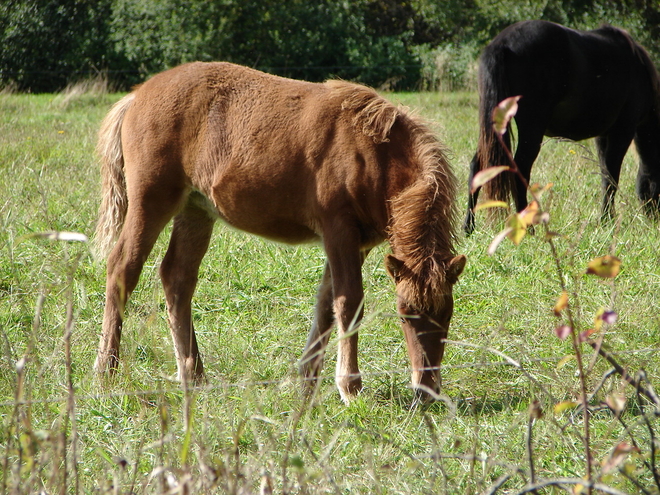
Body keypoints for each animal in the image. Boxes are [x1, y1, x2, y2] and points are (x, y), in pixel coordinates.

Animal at [93, 62, 466, 404]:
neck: (375, 153)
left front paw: (306, 380)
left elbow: (325, 305)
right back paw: (105, 372)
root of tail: (136, 96)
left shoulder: (357, 244)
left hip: (196, 209)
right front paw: (350, 387)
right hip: (151, 200)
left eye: (447, 313)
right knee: (123, 268)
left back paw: (193, 375)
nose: (426, 391)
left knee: (177, 277)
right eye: (405, 313)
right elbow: (348, 303)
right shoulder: (338, 231)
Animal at [464, 19, 660, 234]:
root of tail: (502, 43)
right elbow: (611, 177)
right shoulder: (622, 131)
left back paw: (468, 227)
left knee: (478, 167)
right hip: (531, 129)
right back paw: (528, 228)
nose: (655, 219)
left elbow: (605, 175)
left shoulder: (603, 135)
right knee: (520, 170)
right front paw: (606, 220)